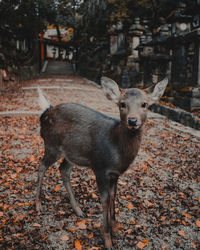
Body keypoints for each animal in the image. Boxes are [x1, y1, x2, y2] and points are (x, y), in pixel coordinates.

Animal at [35, 77, 167, 249]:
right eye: (122, 104)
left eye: (144, 104)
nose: (132, 120)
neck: (118, 153)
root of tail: (46, 111)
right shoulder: (100, 168)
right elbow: (105, 200)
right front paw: (108, 240)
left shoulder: (115, 173)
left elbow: (113, 196)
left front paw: (115, 228)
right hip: (52, 144)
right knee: (42, 165)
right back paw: (38, 206)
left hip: (73, 154)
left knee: (63, 169)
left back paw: (79, 211)